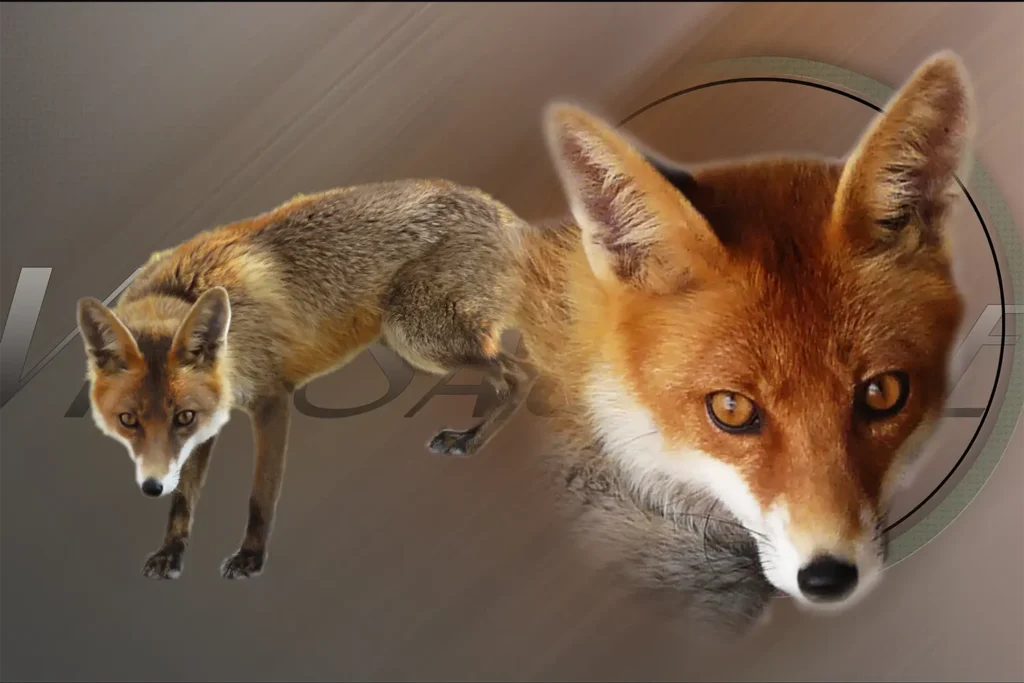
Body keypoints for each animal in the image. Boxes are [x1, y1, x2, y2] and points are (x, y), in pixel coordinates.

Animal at [76, 179, 537, 580]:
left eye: (181, 417)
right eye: (128, 421)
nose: (151, 487)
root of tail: (501, 211)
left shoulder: (271, 399)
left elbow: (260, 496)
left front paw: (250, 557)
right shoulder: (209, 420)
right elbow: (183, 499)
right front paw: (171, 553)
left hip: (418, 336)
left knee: (525, 374)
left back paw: (471, 441)